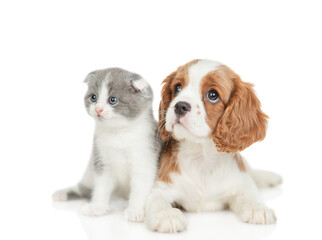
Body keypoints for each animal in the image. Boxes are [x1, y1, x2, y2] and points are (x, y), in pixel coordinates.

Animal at [52, 67, 161, 221]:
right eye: (93, 97)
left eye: (112, 100)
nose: (98, 109)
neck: (118, 133)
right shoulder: (101, 160)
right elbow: (101, 187)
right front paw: (97, 207)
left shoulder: (145, 158)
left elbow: (140, 187)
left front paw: (134, 210)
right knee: (84, 188)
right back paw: (63, 194)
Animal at [145, 59, 284, 232]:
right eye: (177, 87)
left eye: (212, 95)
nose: (179, 106)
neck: (201, 155)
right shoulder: (160, 186)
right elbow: (157, 198)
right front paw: (167, 214)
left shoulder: (240, 182)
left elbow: (248, 192)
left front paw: (257, 207)